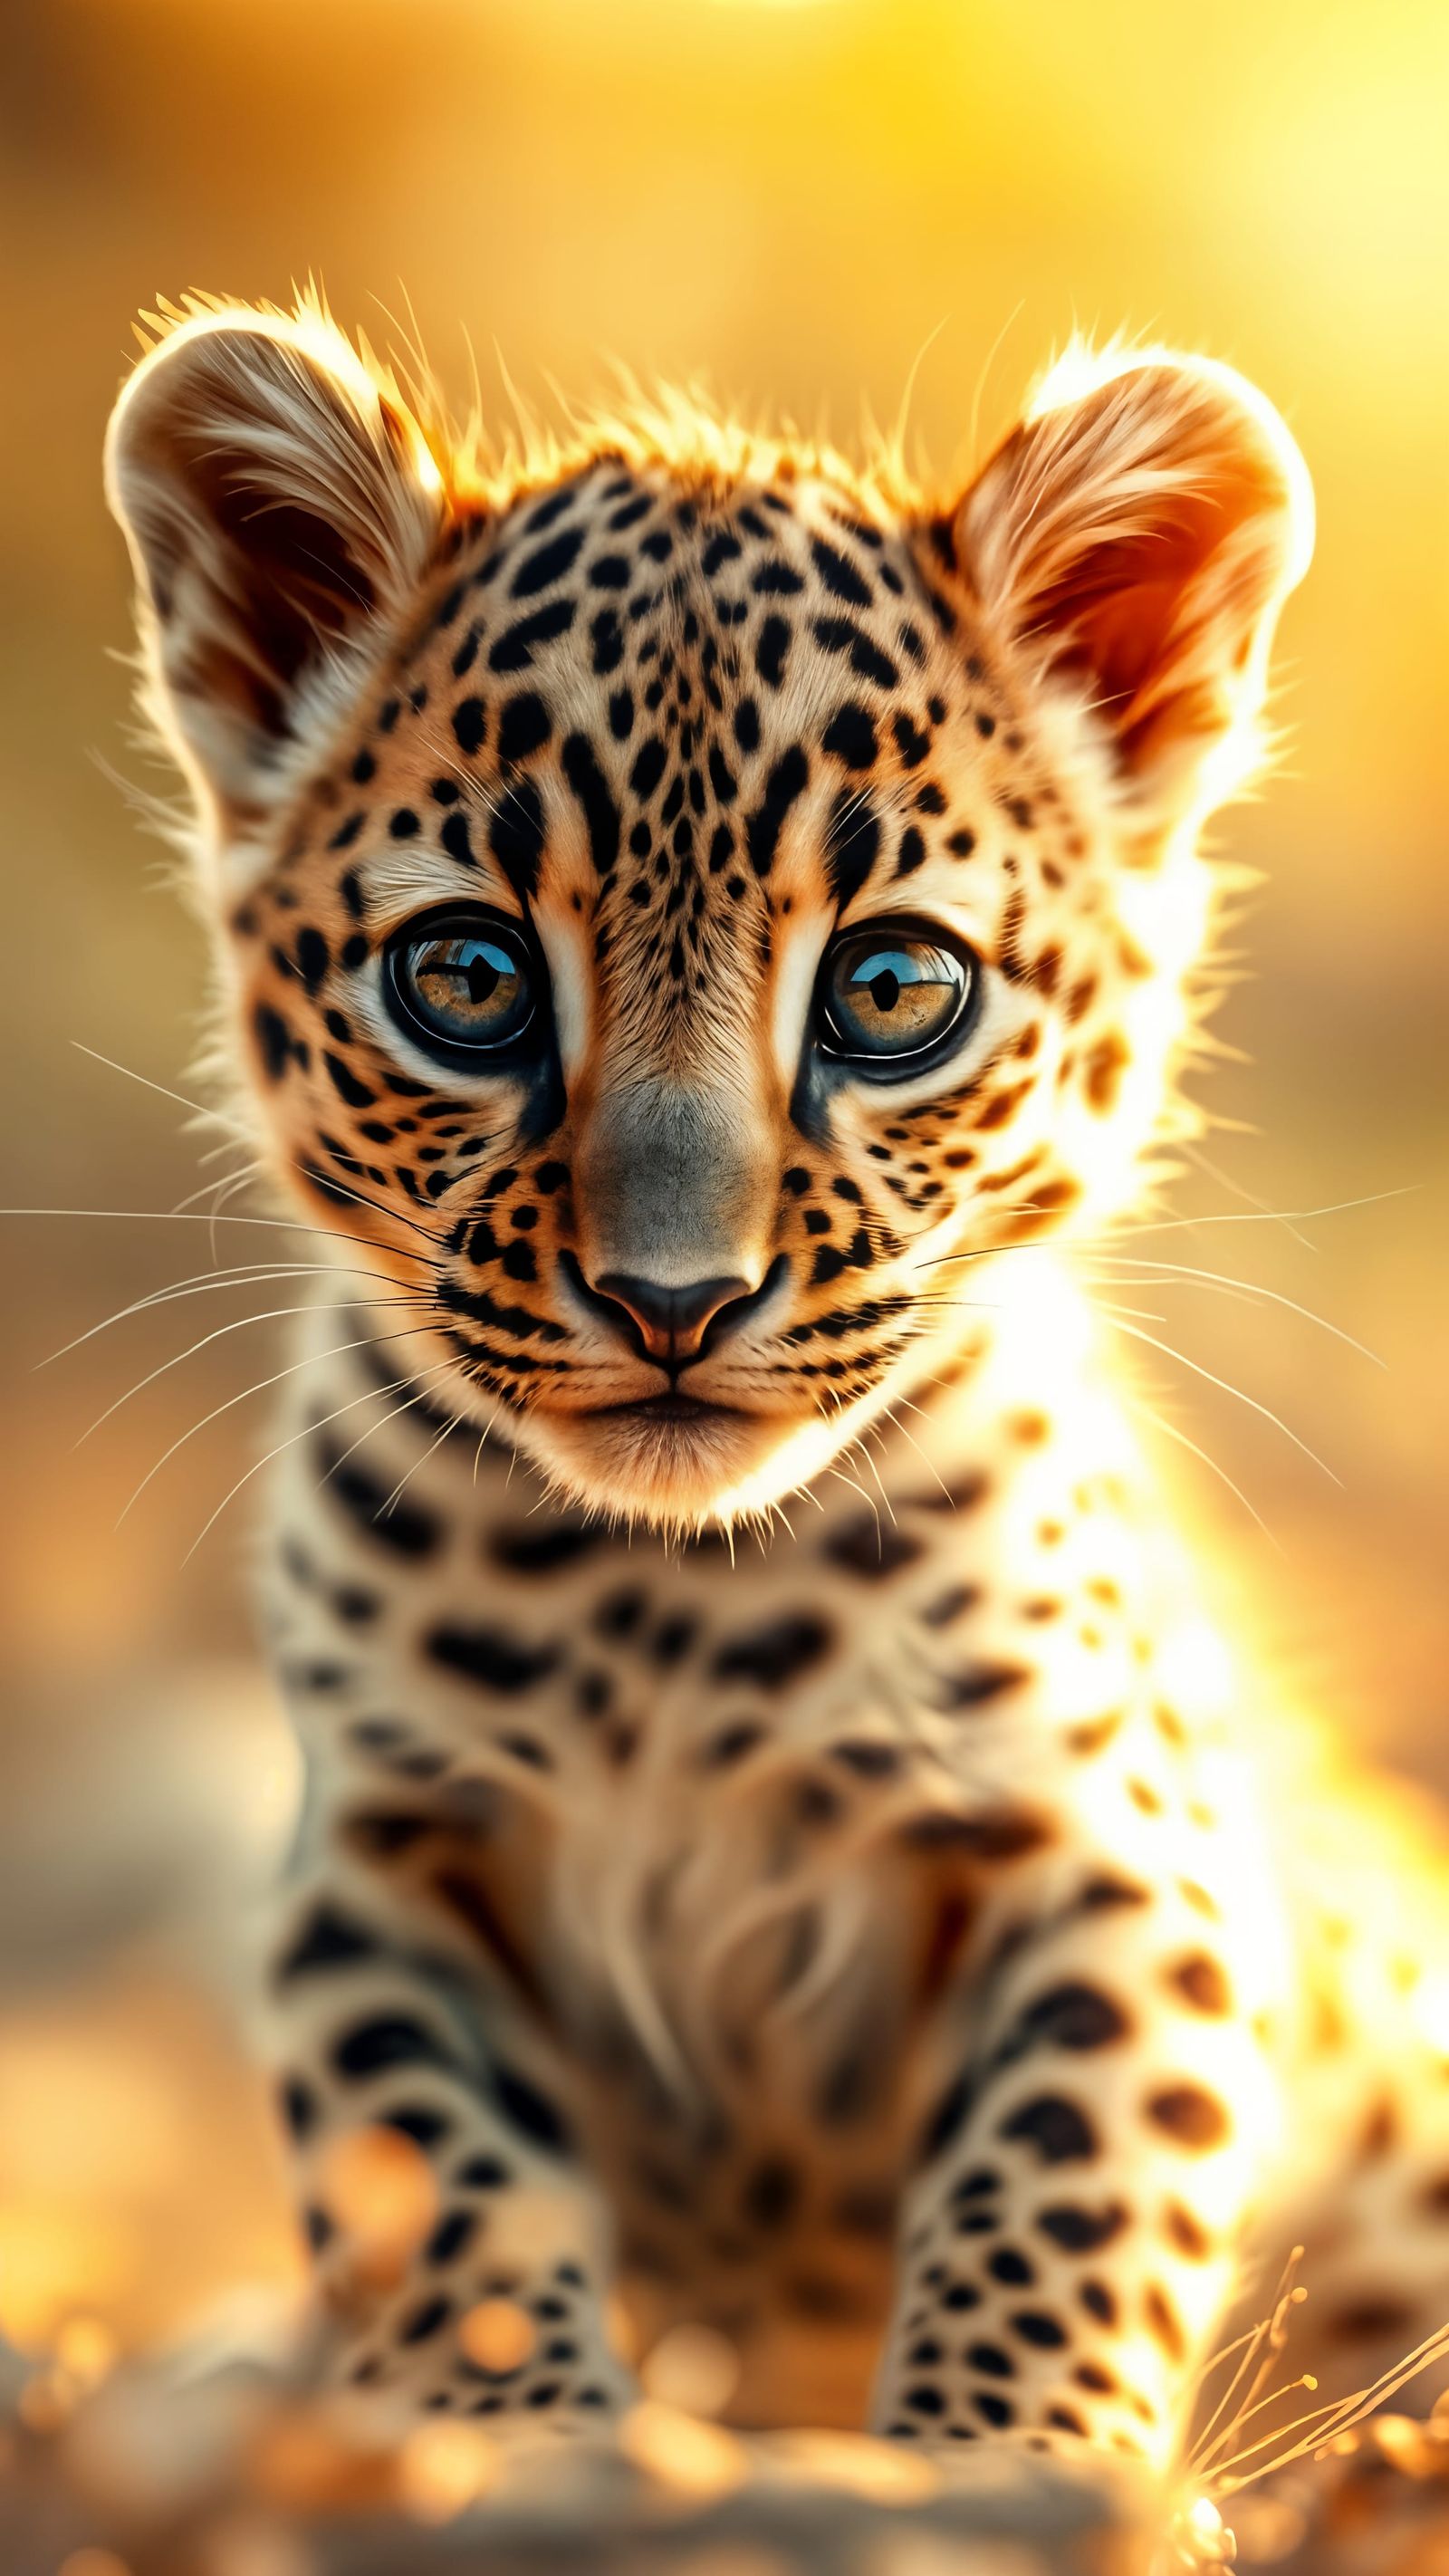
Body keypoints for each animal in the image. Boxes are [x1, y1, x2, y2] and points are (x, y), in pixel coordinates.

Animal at [100, 293, 1449, 2529]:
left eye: (891, 992)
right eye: (466, 977)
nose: (673, 1300)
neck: (668, 1611)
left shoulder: (1121, 1857)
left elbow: (1059, 2187)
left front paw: (999, 2471)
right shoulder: (378, 1868)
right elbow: (440, 2185)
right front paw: (508, 2442)